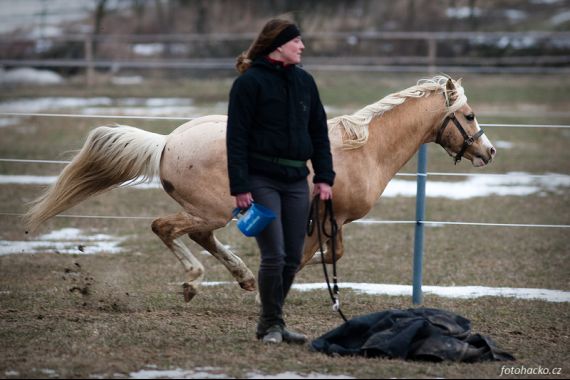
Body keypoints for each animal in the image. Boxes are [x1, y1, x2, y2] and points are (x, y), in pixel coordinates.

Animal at [26, 75, 492, 302]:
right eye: (469, 115)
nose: (488, 151)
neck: (363, 148)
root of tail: (167, 142)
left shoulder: (331, 219)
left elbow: (328, 254)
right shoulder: (324, 216)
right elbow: (311, 256)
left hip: (216, 210)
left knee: (198, 235)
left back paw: (243, 278)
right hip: (214, 208)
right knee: (167, 227)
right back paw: (195, 281)